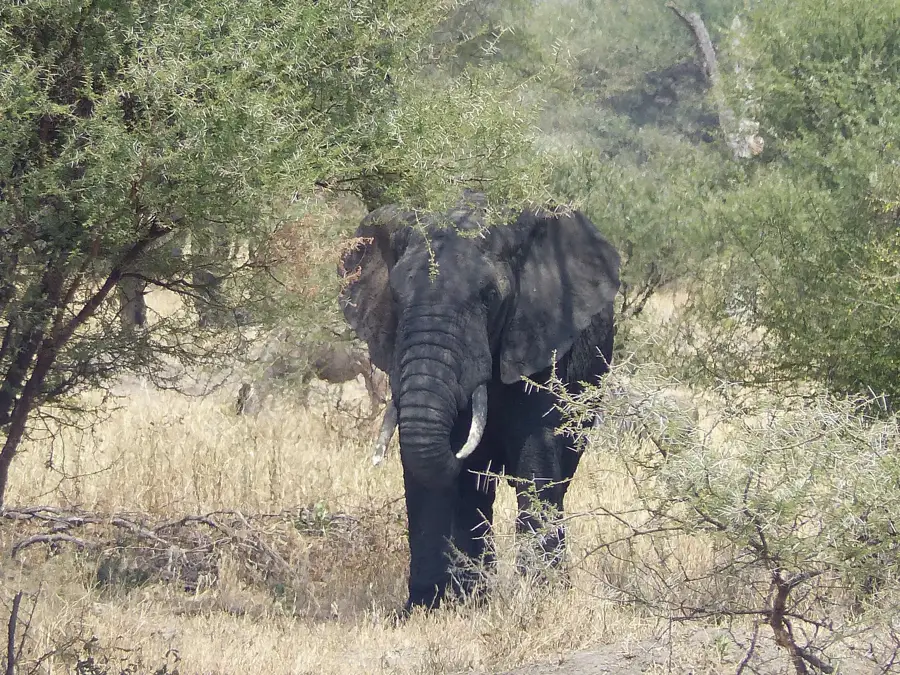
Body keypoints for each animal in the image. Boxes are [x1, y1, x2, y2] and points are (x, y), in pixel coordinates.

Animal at [338, 193, 620, 612]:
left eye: (489, 298)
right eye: (396, 298)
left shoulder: (540, 339)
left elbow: (537, 457)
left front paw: (541, 600)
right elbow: (424, 469)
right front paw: (422, 609)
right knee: (476, 493)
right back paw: (475, 597)